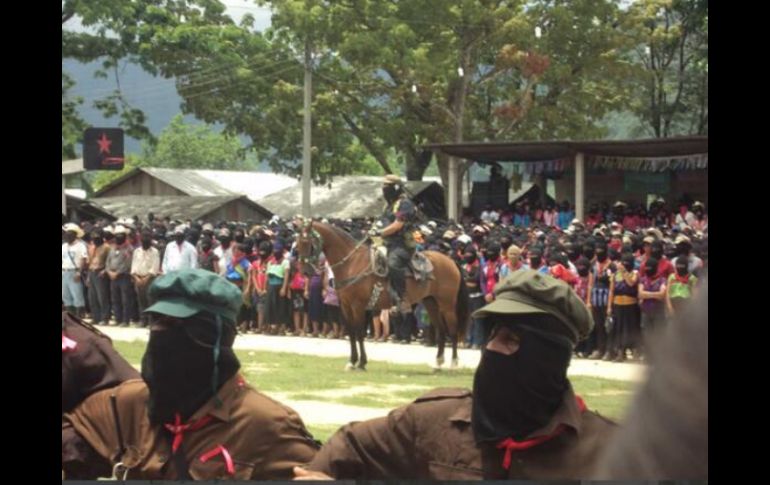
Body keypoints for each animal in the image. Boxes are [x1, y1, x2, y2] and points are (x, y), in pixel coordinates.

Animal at [296, 220, 468, 370]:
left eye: (308, 243)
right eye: (298, 244)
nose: (305, 271)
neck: (351, 263)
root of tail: (450, 261)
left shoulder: (358, 306)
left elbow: (359, 332)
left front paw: (362, 363)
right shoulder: (345, 305)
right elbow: (351, 332)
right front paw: (352, 362)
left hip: (447, 305)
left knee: (452, 330)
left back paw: (454, 363)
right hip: (431, 303)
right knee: (442, 331)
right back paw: (438, 363)